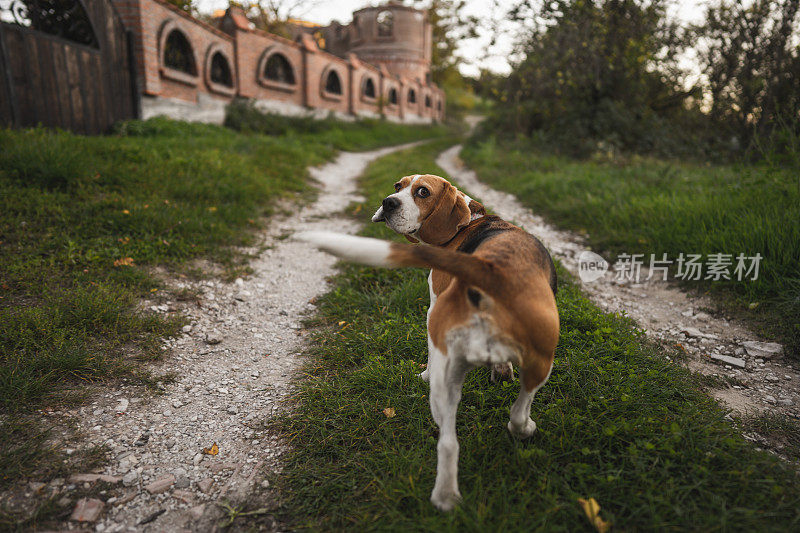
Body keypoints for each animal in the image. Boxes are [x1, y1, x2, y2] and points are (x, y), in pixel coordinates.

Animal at [296, 175, 560, 512]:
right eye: (398, 186)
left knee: (461, 437)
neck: (470, 221)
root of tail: (489, 271)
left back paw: (447, 497)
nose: (388, 202)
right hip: (539, 359)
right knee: (498, 421)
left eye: (422, 192)